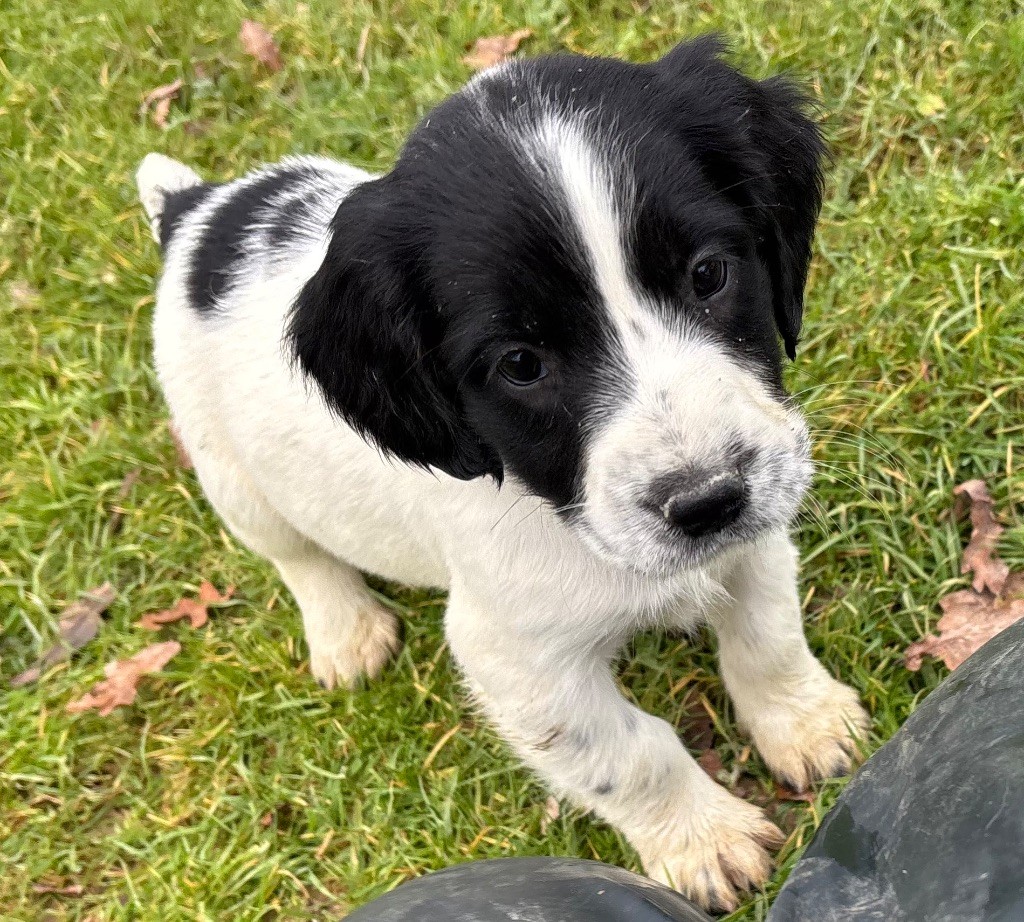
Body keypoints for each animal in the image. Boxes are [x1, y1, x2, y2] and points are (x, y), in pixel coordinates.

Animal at [138, 37, 864, 913]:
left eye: (709, 274)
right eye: (521, 363)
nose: (707, 503)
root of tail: (198, 212)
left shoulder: (755, 528)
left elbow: (767, 636)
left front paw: (807, 724)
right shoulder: (515, 658)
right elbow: (629, 752)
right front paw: (706, 841)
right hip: (230, 472)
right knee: (297, 555)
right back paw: (346, 631)